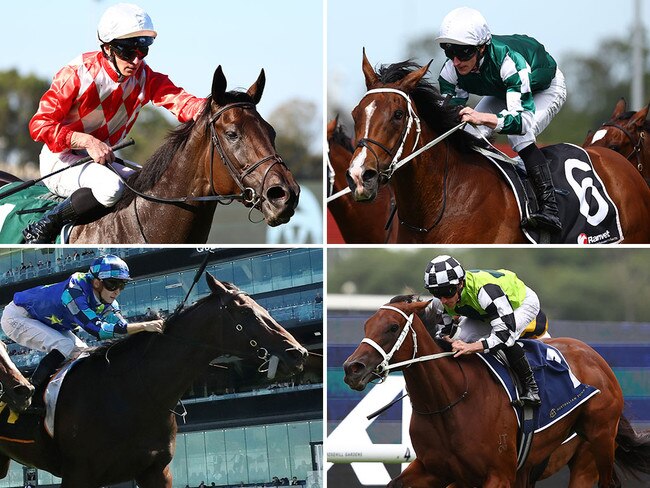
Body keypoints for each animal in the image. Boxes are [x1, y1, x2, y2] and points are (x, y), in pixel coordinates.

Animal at [340, 294, 648, 488]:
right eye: (367, 325)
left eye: (392, 327)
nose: (352, 368)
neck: (450, 401)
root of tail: (596, 359)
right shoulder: (435, 470)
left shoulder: (497, 475)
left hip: (595, 446)